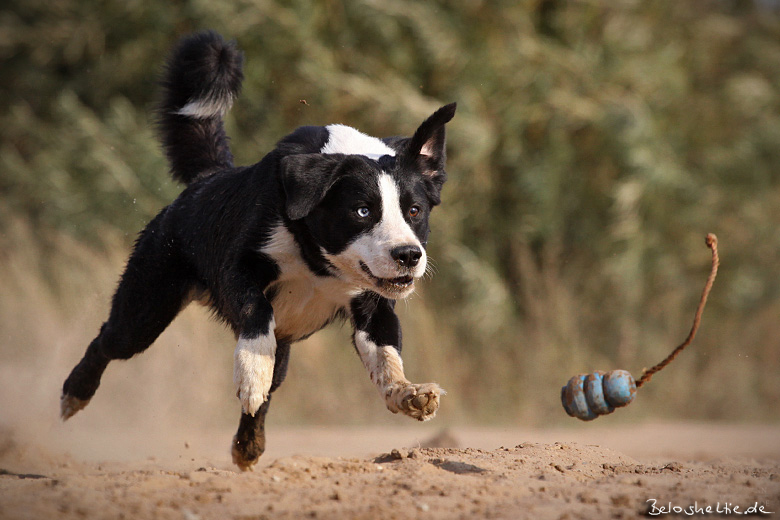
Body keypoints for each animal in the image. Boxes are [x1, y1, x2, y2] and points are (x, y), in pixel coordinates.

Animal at [61, 31, 458, 472]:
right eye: (362, 210)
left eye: (414, 210)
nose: (408, 256)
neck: (318, 263)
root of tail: (204, 182)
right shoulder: (240, 269)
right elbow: (256, 312)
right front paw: (250, 376)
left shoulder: (370, 303)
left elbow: (386, 353)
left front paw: (408, 394)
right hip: (146, 306)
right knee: (107, 340)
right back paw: (74, 393)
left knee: (271, 386)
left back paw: (248, 444)